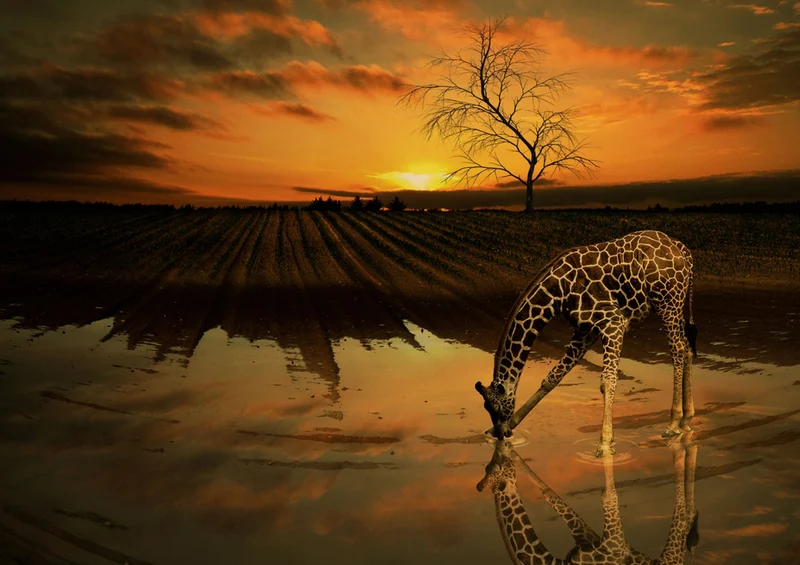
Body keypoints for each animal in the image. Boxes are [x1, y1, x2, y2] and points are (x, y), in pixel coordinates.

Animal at [475, 230, 698, 456]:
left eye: (493, 407)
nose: (501, 433)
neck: (557, 293)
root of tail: (684, 251)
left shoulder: (613, 321)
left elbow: (608, 380)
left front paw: (605, 444)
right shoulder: (586, 329)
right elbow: (552, 378)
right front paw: (506, 427)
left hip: (667, 302)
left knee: (678, 349)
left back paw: (672, 424)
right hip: (676, 302)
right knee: (687, 345)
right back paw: (686, 420)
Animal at [476, 438, 700, 565]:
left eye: (497, 468)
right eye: (491, 467)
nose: (503, 447)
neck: (556, 563)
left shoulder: (613, 543)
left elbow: (608, 497)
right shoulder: (587, 536)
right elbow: (551, 494)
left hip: (667, 559)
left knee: (679, 518)